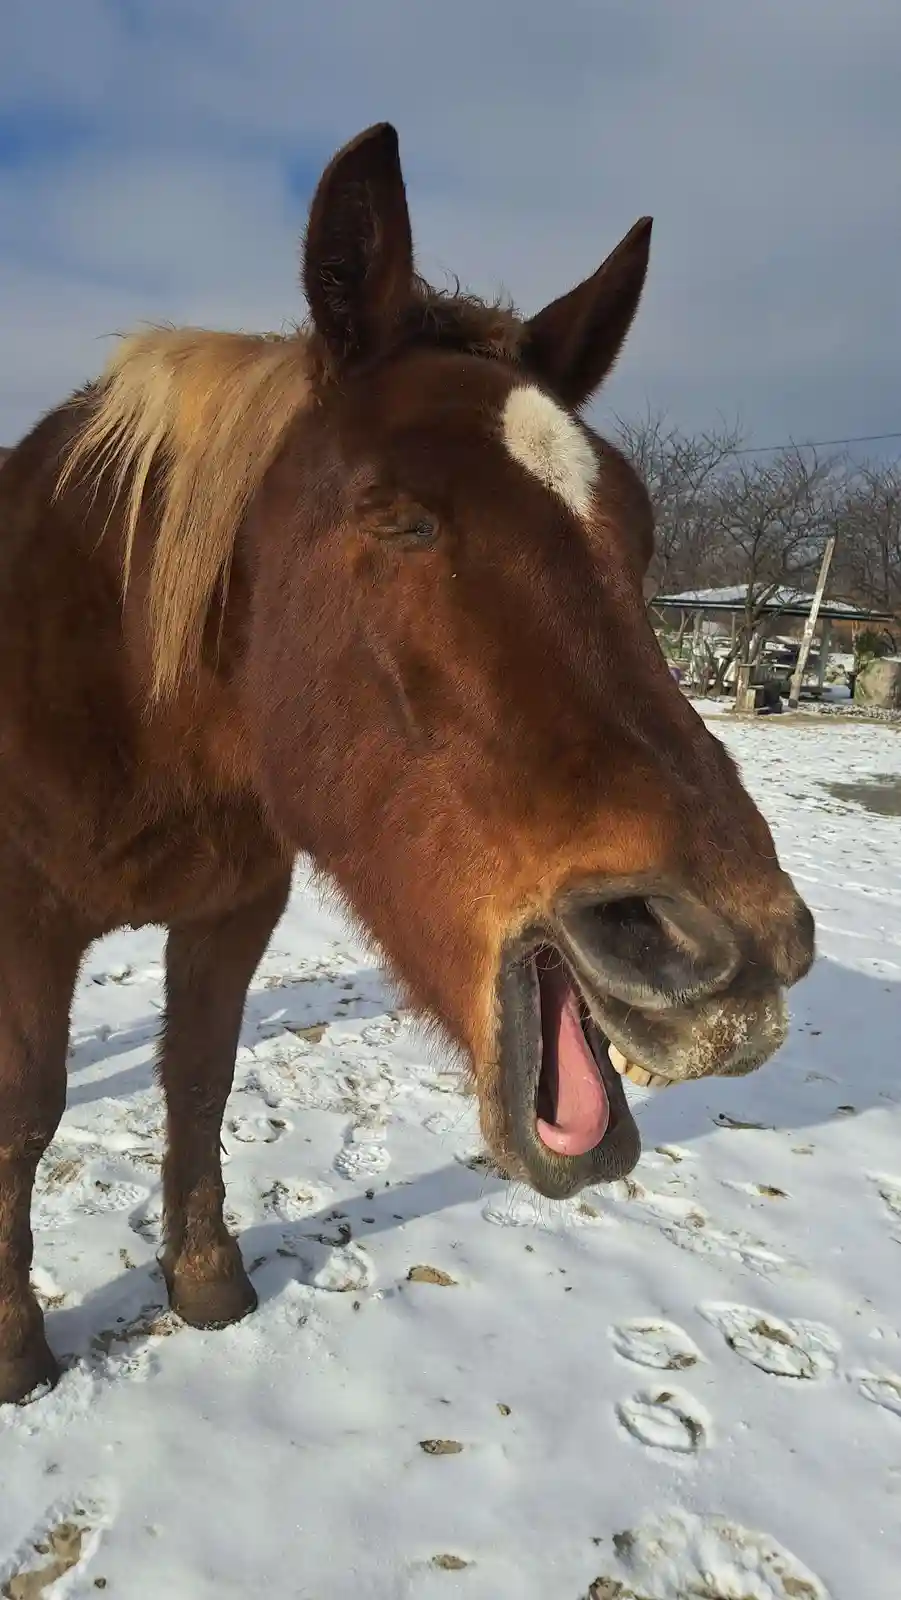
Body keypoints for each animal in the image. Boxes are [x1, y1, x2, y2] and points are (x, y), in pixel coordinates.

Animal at [0, 123, 814, 1405]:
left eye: (636, 533)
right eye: (396, 518)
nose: (733, 950)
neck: (131, 698)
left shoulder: (233, 910)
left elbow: (199, 1076)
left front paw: (206, 1282)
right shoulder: (23, 920)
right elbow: (27, 1111)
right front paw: (14, 1343)